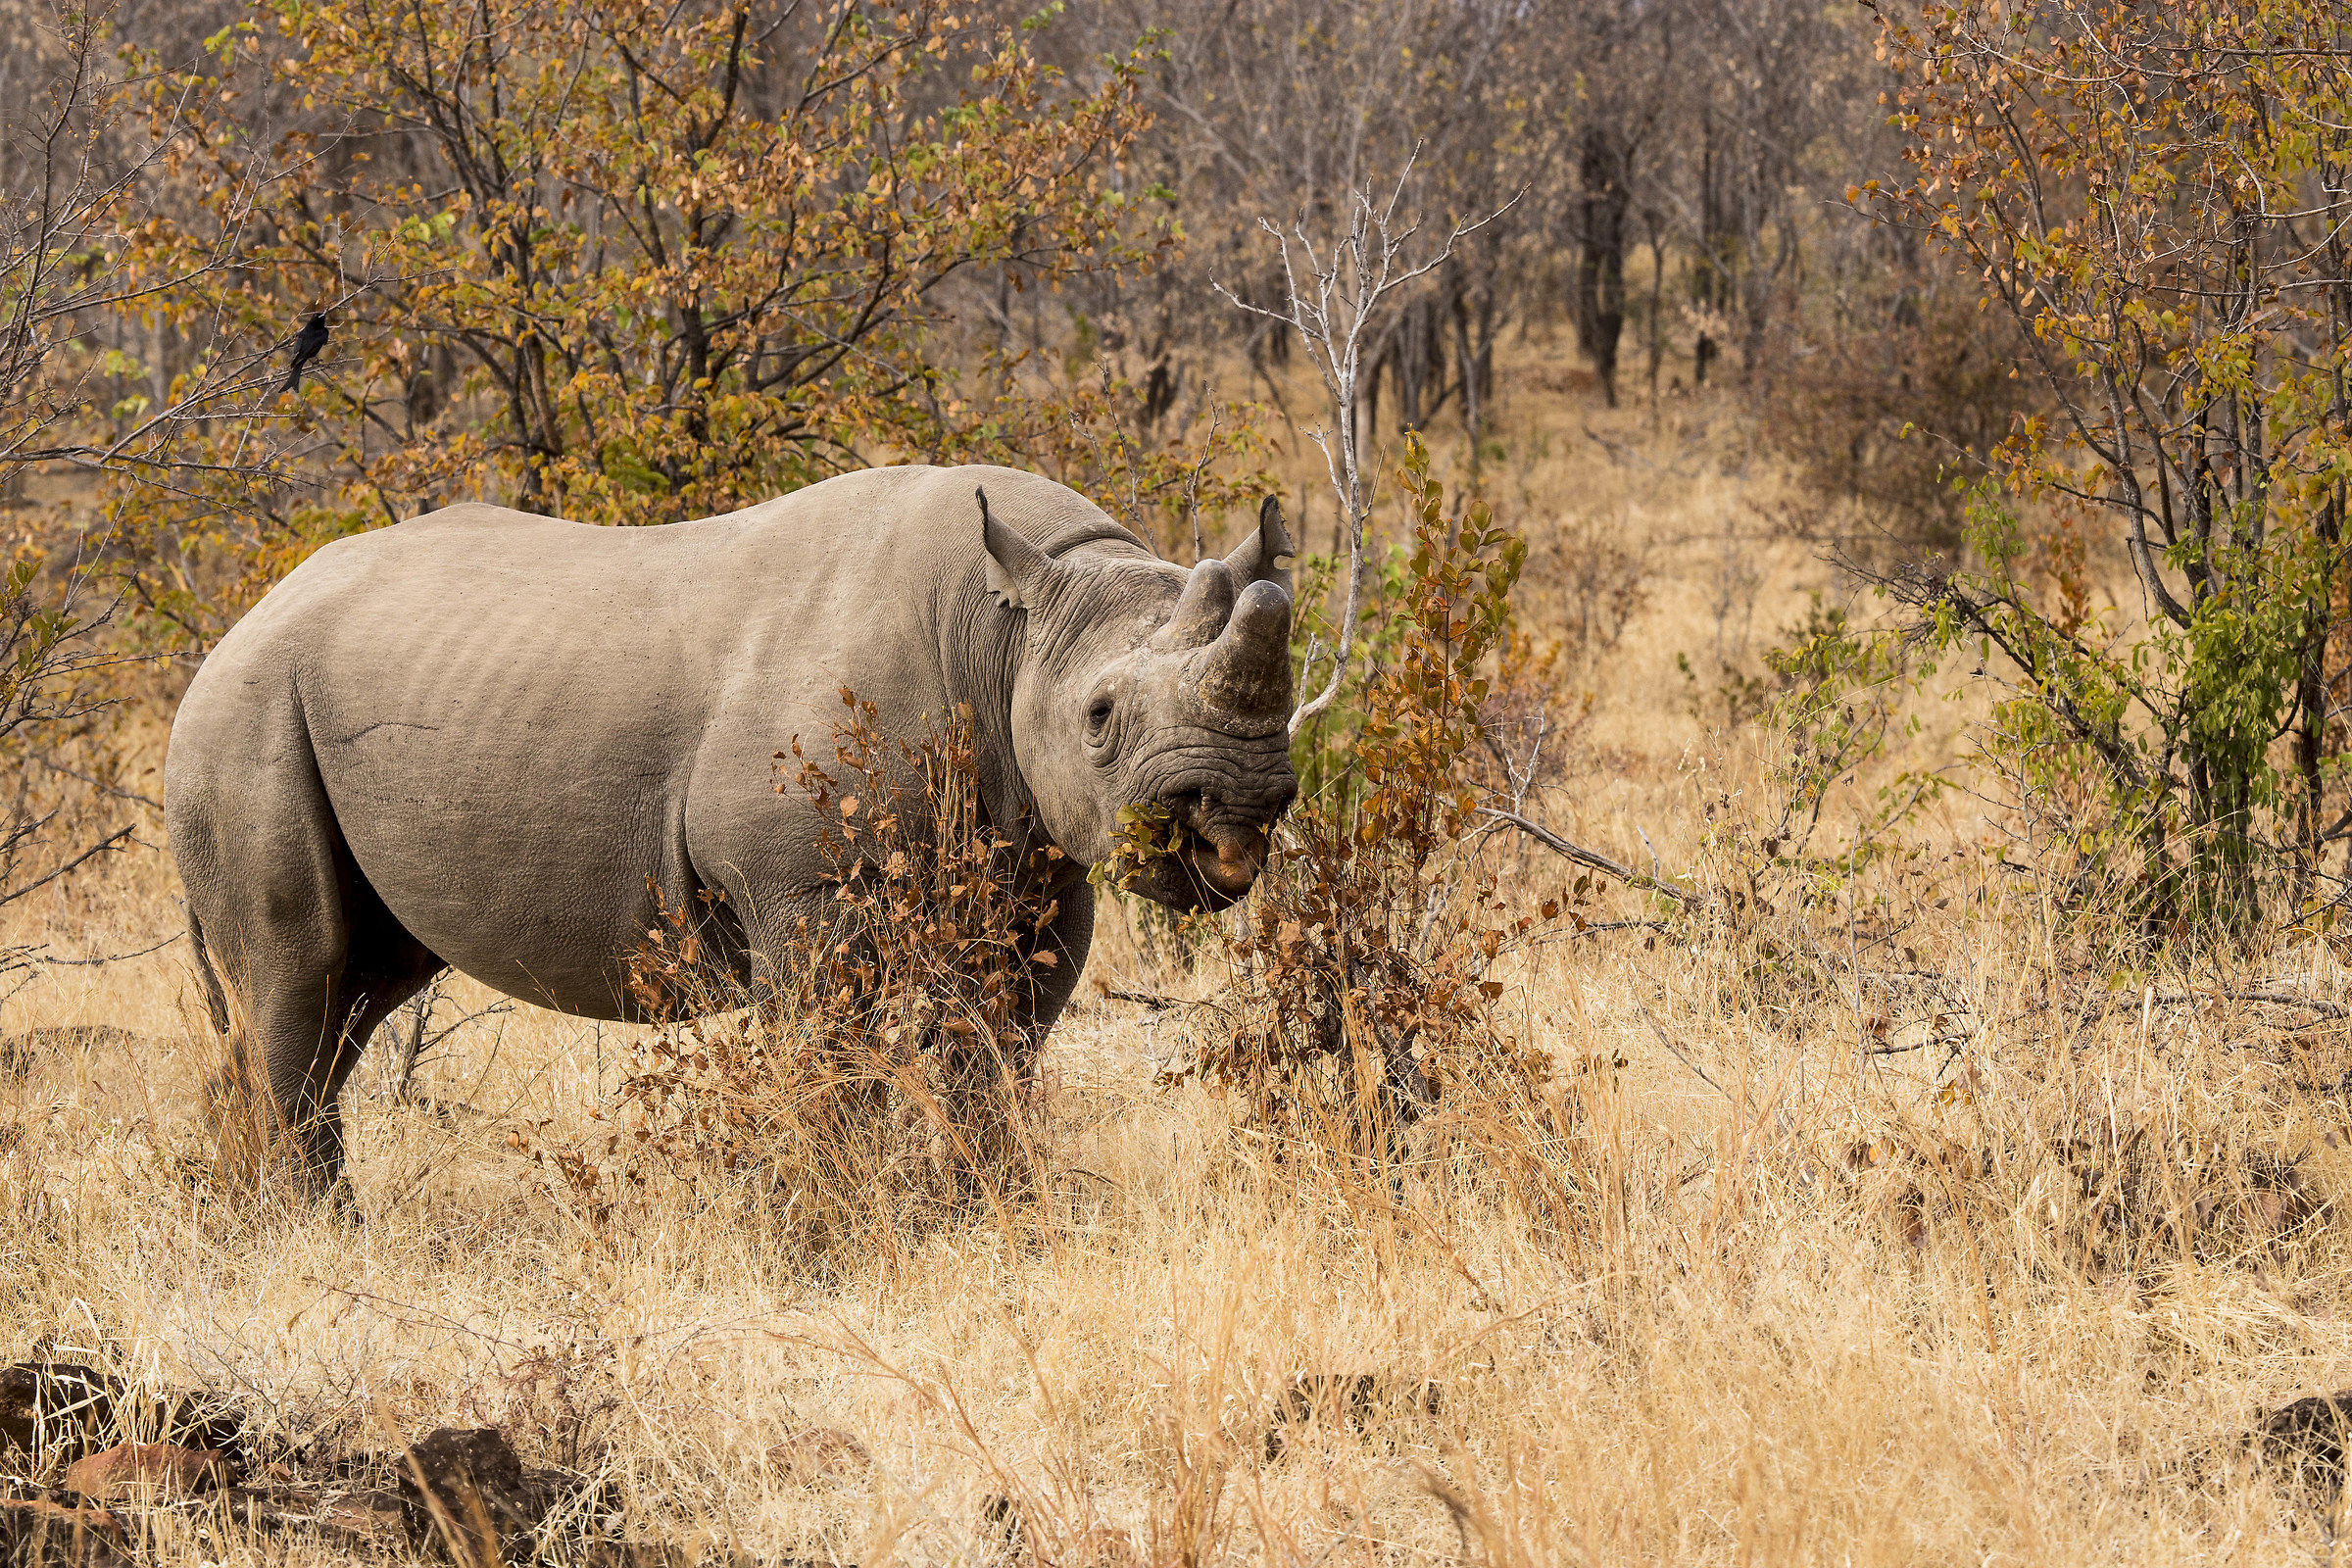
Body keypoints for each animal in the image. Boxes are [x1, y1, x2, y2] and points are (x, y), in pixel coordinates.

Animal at [165, 464, 1297, 1188]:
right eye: (1100, 717)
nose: (1235, 810)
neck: (1012, 625)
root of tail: (241, 619)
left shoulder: (1037, 861)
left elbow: (1003, 1046)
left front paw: (998, 1210)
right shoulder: (802, 884)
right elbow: (830, 1051)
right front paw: (836, 1220)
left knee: (357, 983)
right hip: (246, 708)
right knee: (298, 969)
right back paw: (314, 1231)